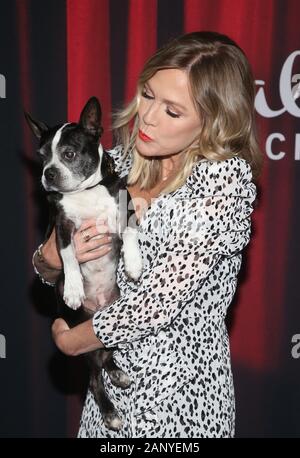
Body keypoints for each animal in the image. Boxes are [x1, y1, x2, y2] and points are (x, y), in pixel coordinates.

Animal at [25, 95, 143, 430]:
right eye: (41, 157)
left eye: (69, 153)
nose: (48, 173)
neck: (86, 191)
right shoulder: (62, 228)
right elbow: (68, 257)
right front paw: (74, 289)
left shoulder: (125, 209)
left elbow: (130, 232)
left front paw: (133, 263)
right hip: (82, 329)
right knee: (93, 376)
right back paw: (110, 412)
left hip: (107, 322)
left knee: (106, 352)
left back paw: (117, 372)